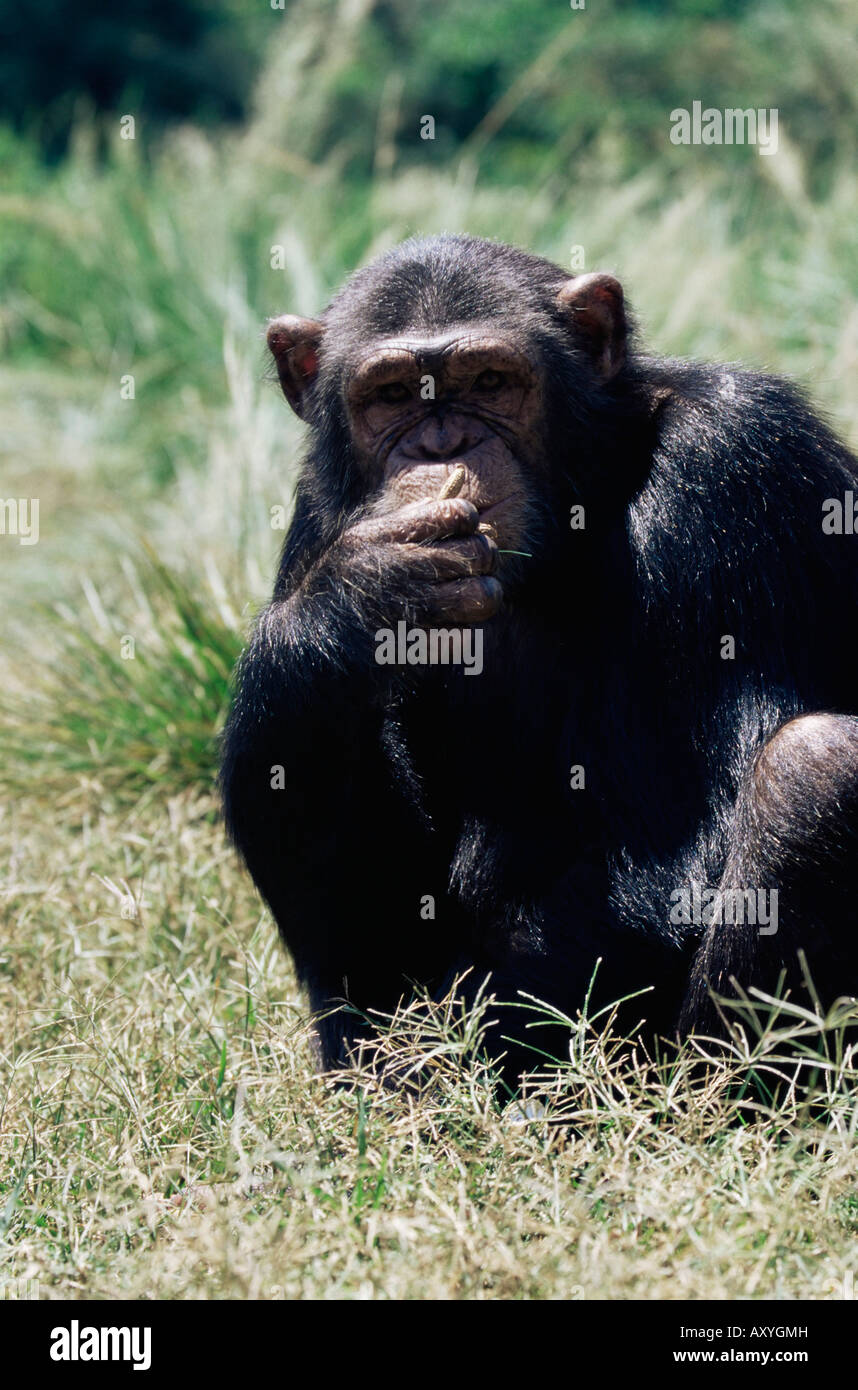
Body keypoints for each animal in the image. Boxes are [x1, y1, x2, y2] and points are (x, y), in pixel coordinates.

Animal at [221, 236, 856, 1084]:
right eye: (391, 395)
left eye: (489, 383)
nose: (442, 445)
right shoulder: (315, 515)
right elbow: (368, 927)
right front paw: (362, 593)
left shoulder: (735, 460)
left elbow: (673, 839)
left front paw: (452, 1060)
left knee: (813, 770)